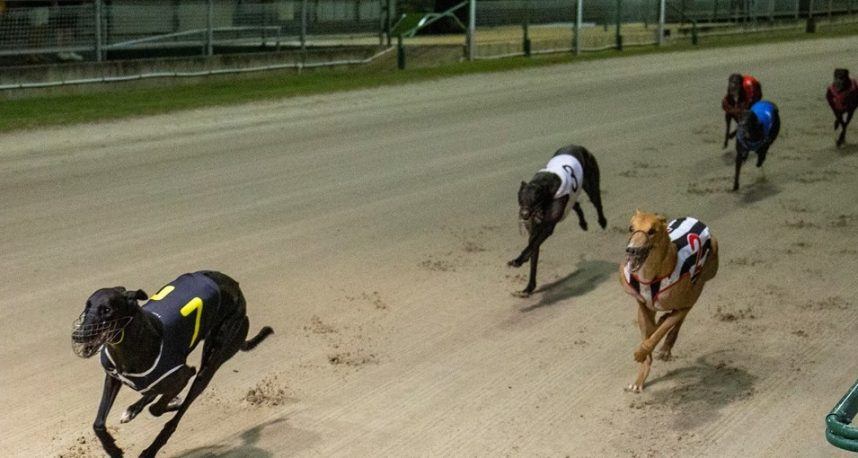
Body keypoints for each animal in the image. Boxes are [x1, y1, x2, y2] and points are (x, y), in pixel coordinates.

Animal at [75, 270, 274, 456]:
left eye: (107, 310)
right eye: (87, 306)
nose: (78, 335)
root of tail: (235, 287)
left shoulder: (184, 374)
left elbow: (157, 408)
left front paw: (172, 403)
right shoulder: (113, 377)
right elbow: (98, 423)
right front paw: (113, 449)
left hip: (211, 363)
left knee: (176, 413)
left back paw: (151, 449)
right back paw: (136, 408)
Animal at [508, 145, 608, 298]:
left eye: (533, 201)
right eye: (520, 199)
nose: (524, 215)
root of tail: (579, 146)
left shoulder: (547, 227)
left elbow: (532, 245)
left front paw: (518, 261)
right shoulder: (535, 230)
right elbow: (533, 250)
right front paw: (528, 288)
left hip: (591, 185)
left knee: (597, 202)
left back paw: (602, 221)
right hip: (571, 198)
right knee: (576, 205)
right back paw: (583, 223)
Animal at [616, 211, 716, 394]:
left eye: (652, 231)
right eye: (631, 228)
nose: (632, 250)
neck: (650, 275)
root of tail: (695, 220)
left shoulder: (683, 303)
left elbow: (658, 333)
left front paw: (641, 352)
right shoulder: (642, 305)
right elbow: (649, 331)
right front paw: (640, 377)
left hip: (702, 280)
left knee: (681, 314)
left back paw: (666, 344)